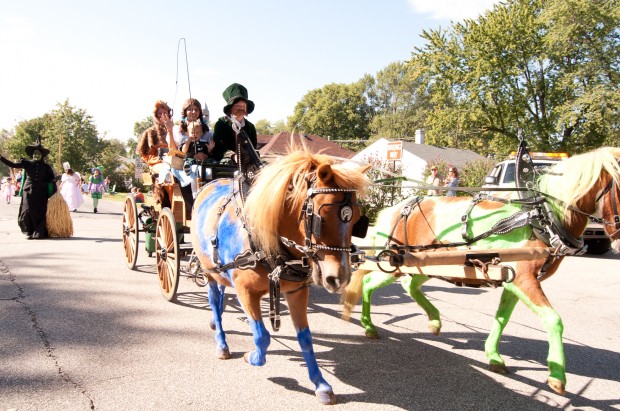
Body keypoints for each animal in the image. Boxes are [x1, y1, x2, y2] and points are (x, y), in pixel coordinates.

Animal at [191, 148, 370, 406]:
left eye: (357, 221)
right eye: (320, 217)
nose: (339, 278)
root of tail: (209, 183)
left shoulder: (296, 291)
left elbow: (305, 338)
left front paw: (321, 385)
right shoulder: (245, 291)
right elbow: (262, 336)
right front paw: (251, 356)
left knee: (222, 294)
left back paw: (217, 323)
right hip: (209, 270)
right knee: (214, 300)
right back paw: (221, 342)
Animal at [344, 147, 620, 396]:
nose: (617, 241)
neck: (541, 218)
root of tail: (396, 208)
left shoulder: (511, 279)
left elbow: (502, 317)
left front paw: (494, 356)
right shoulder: (523, 279)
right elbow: (554, 320)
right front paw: (557, 377)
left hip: (425, 263)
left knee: (408, 286)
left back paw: (434, 321)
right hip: (394, 263)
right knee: (368, 283)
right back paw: (369, 326)